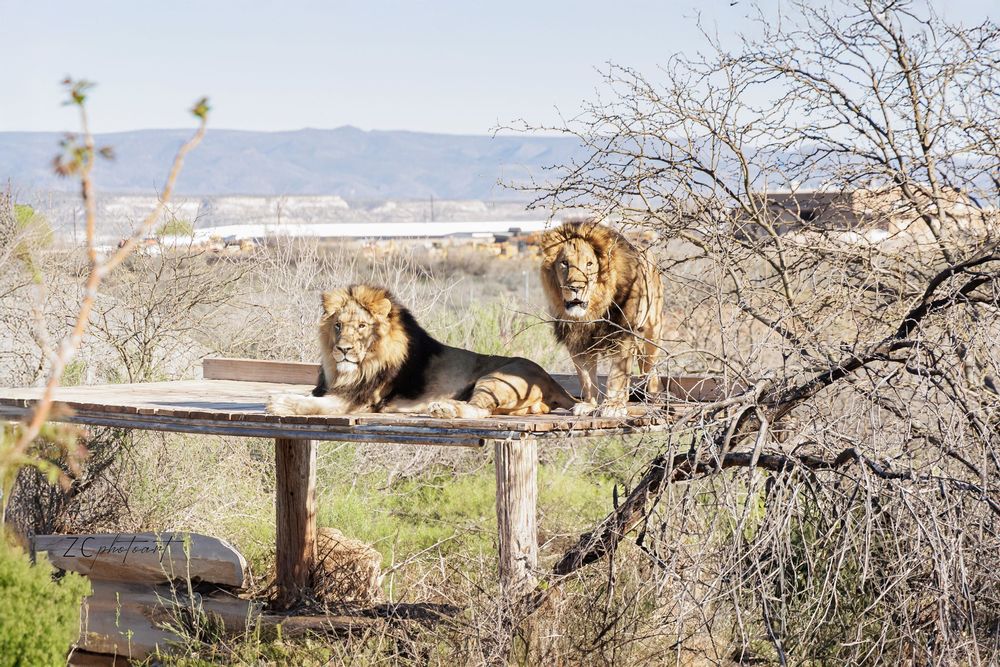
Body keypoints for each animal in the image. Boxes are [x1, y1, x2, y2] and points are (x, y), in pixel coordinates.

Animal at [266, 284, 576, 419]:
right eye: (338, 325)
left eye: (363, 326)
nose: (342, 349)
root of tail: (551, 379)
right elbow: (312, 397)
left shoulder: (356, 401)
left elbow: (312, 404)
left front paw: (279, 402)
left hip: (496, 378)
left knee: (480, 411)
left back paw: (444, 408)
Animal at [540, 220, 664, 417]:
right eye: (564, 263)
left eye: (589, 264)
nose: (575, 287)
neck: (591, 312)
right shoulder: (577, 341)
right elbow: (586, 377)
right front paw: (589, 404)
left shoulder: (623, 335)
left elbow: (616, 376)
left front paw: (612, 406)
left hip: (653, 330)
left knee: (650, 367)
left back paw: (654, 398)